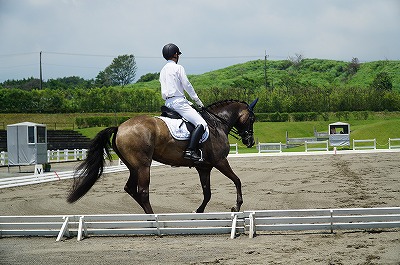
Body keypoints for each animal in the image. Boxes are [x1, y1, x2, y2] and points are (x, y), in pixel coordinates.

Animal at [67, 98, 258, 213]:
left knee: (130, 188)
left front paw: (199, 211)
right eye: (252, 119)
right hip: (143, 166)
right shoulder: (220, 161)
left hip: (134, 167)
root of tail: (120, 127)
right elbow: (237, 180)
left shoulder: (204, 167)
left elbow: (207, 193)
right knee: (143, 192)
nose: (250, 142)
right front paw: (237, 206)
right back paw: (153, 218)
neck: (217, 123)